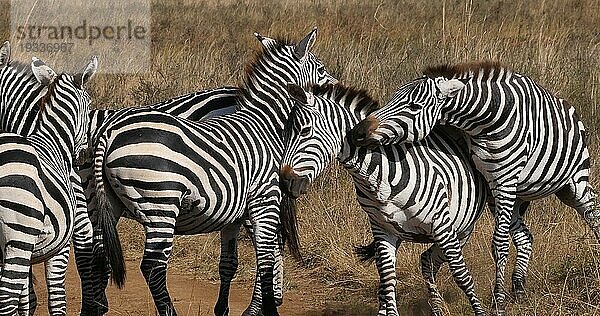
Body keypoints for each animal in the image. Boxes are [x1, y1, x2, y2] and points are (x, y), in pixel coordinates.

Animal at [0, 41, 101, 314]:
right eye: (89, 107)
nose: (84, 156)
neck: (51, 140)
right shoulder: (59, 244)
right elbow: (55, 295)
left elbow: (26, 298)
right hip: (20, 237)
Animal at [88, 28, 338, 314]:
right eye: (321, 69)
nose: (339, 89)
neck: (265, 122)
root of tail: (109, 133)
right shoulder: (264, 200)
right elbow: (264, 258)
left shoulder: (237, 211)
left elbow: (233, 261)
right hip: (160, 203)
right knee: (152, 266)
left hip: (110, 203)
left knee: (99, 257)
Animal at [278, 84, 490, 316]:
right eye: (284, 134)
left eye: (304, 131)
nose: (284, 182)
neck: (378, 174)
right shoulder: (382, 228)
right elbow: (387, 281)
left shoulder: (441, 224)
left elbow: (463, 276)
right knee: (423, 261)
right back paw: (436, 308)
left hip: (461, 231)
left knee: (432, 261)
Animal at [346, 61, 600, 314]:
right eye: (392, 98)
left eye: (414, 106)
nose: (356, 133)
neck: (488, 120)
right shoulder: (495, 182)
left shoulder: (505, 179)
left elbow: (499, 244)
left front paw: (499, 303)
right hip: (512, 197)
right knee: (524, 237)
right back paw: (519, 290)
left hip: (573, 183)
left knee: (593, 214)